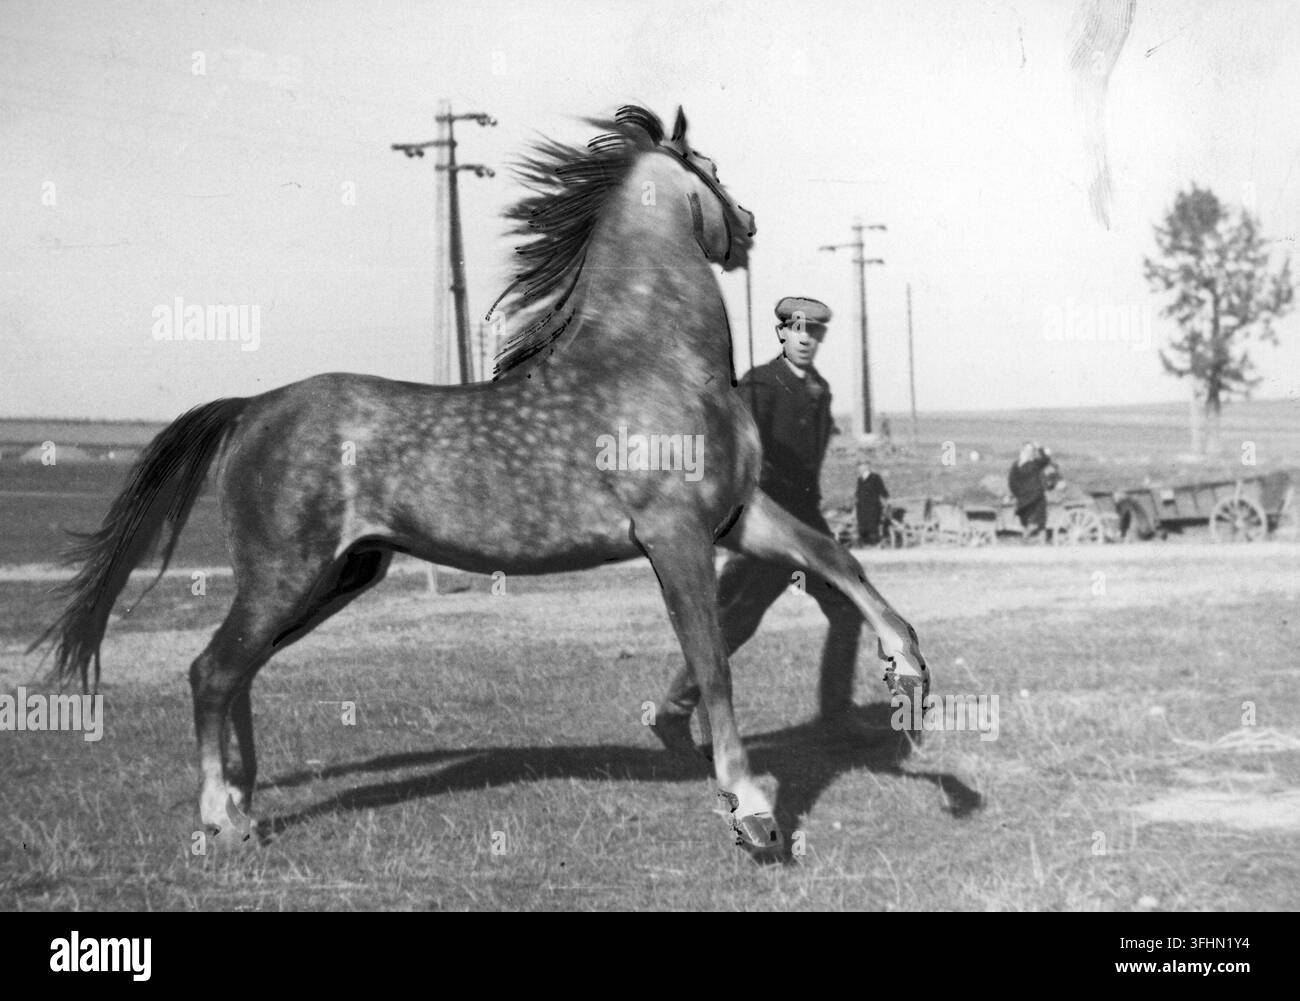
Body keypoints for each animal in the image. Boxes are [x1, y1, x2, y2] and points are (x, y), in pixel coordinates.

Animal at [33, 105, 930, 851]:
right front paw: (751, 811)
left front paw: (911, 680)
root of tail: (253, 407)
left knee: (238, 669)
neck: (655, 359)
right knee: (212, 670)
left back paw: (248, 803)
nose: (745, 226)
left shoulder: (736, 516)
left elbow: (836, 557)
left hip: (339, 573)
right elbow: (712, 664)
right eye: (707, 166)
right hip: (285, 571)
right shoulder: (673, 535)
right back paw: (222, 819)